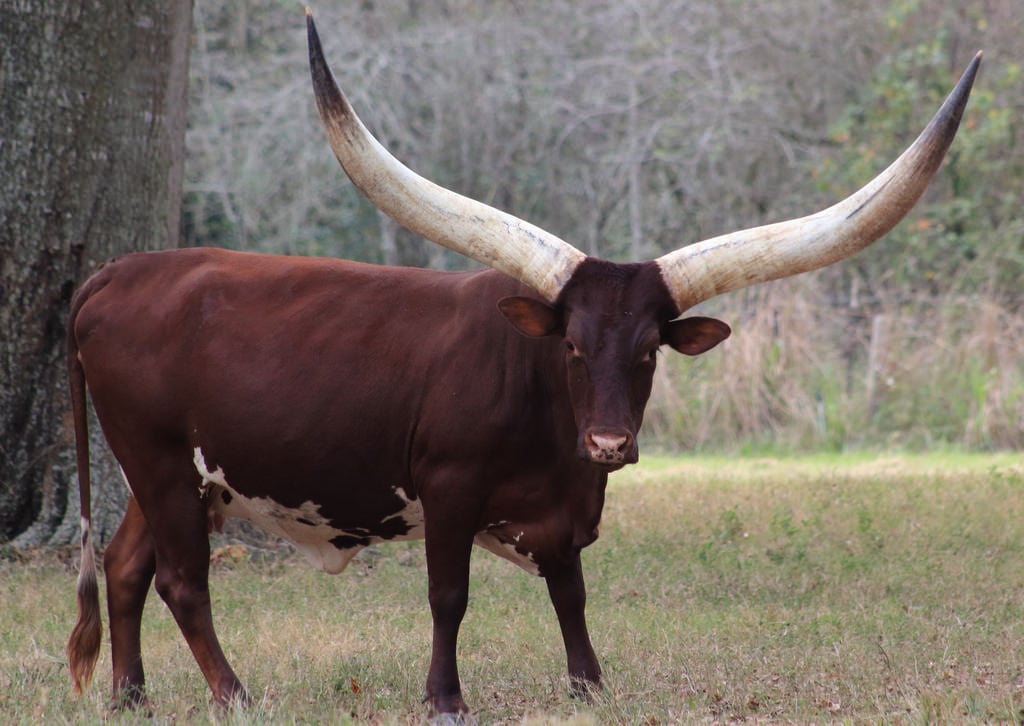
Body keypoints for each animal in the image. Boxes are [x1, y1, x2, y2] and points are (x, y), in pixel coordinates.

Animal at [68, 11, 978, 712]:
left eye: (649, 350)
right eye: (572, 345)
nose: (610, 443)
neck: (551, 424)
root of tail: (118, 272)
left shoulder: (566, 507)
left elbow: (570, 593)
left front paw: (590, 686)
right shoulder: (447, 488)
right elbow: (449, 595)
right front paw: (444, 698)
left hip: (172, 472)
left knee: (125, 566)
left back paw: (130, 697)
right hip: (156, 459)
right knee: (183, 580)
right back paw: (233, 694)